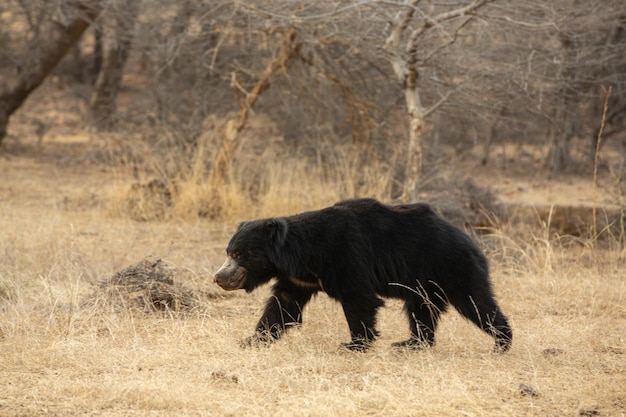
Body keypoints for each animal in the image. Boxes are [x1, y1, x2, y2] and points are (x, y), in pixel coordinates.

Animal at [212, 198, 510, 352]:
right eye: (228, 252)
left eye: (240, 255)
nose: (219, 277)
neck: (304, 255)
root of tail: (472, 242)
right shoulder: (299, 279)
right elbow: (282, 305)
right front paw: (252, 340)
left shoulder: (347, 257)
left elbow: (359, 300)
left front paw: (354, 344)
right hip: (424, 283)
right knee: (422, 310)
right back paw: (411, 343)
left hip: (452, 267)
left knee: (476, 303)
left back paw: (502, 342)